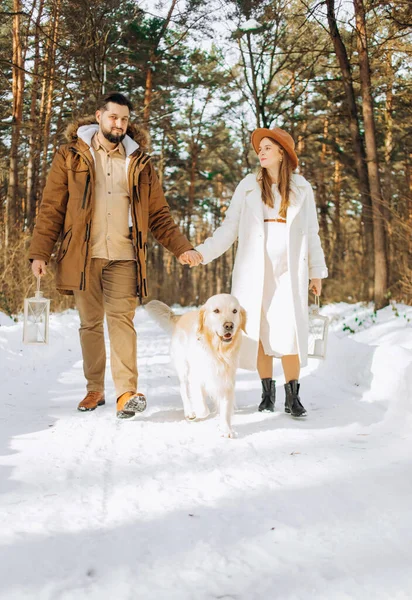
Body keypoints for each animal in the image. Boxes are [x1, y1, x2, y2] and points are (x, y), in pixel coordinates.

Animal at [146, 294, 246, 438]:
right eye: (216, 311)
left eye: (235, 311)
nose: (229, 325)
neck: (217, 351)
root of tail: (181, 317)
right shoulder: (196, 376)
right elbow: (202, 407)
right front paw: (199, 411)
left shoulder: (226, 380)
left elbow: (225, 408)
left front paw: (226, 430)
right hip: (183, 367)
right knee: (183, 389)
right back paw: (190, 411)